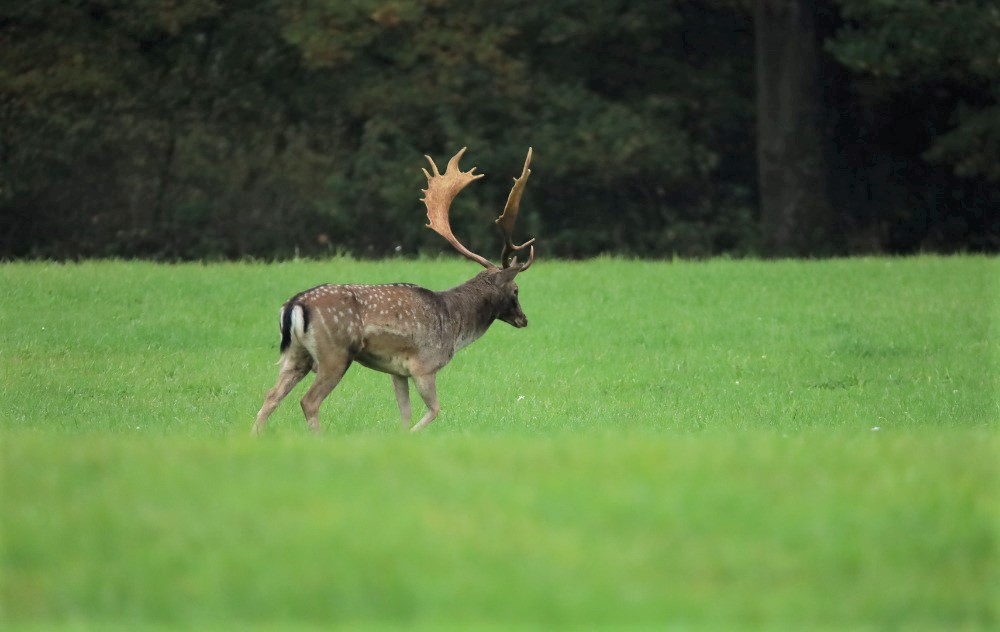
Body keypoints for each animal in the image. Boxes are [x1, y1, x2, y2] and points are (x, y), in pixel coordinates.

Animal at [254, 148, 540, 434]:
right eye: (516, 290)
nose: (524, 319)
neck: (455, 326)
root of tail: (294, 306)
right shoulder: (424, 365)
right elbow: (434, 411)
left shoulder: (397, 371)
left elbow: (405, 413)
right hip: (334, 353)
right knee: (308, 401)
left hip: (296, 355)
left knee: (270, 396)